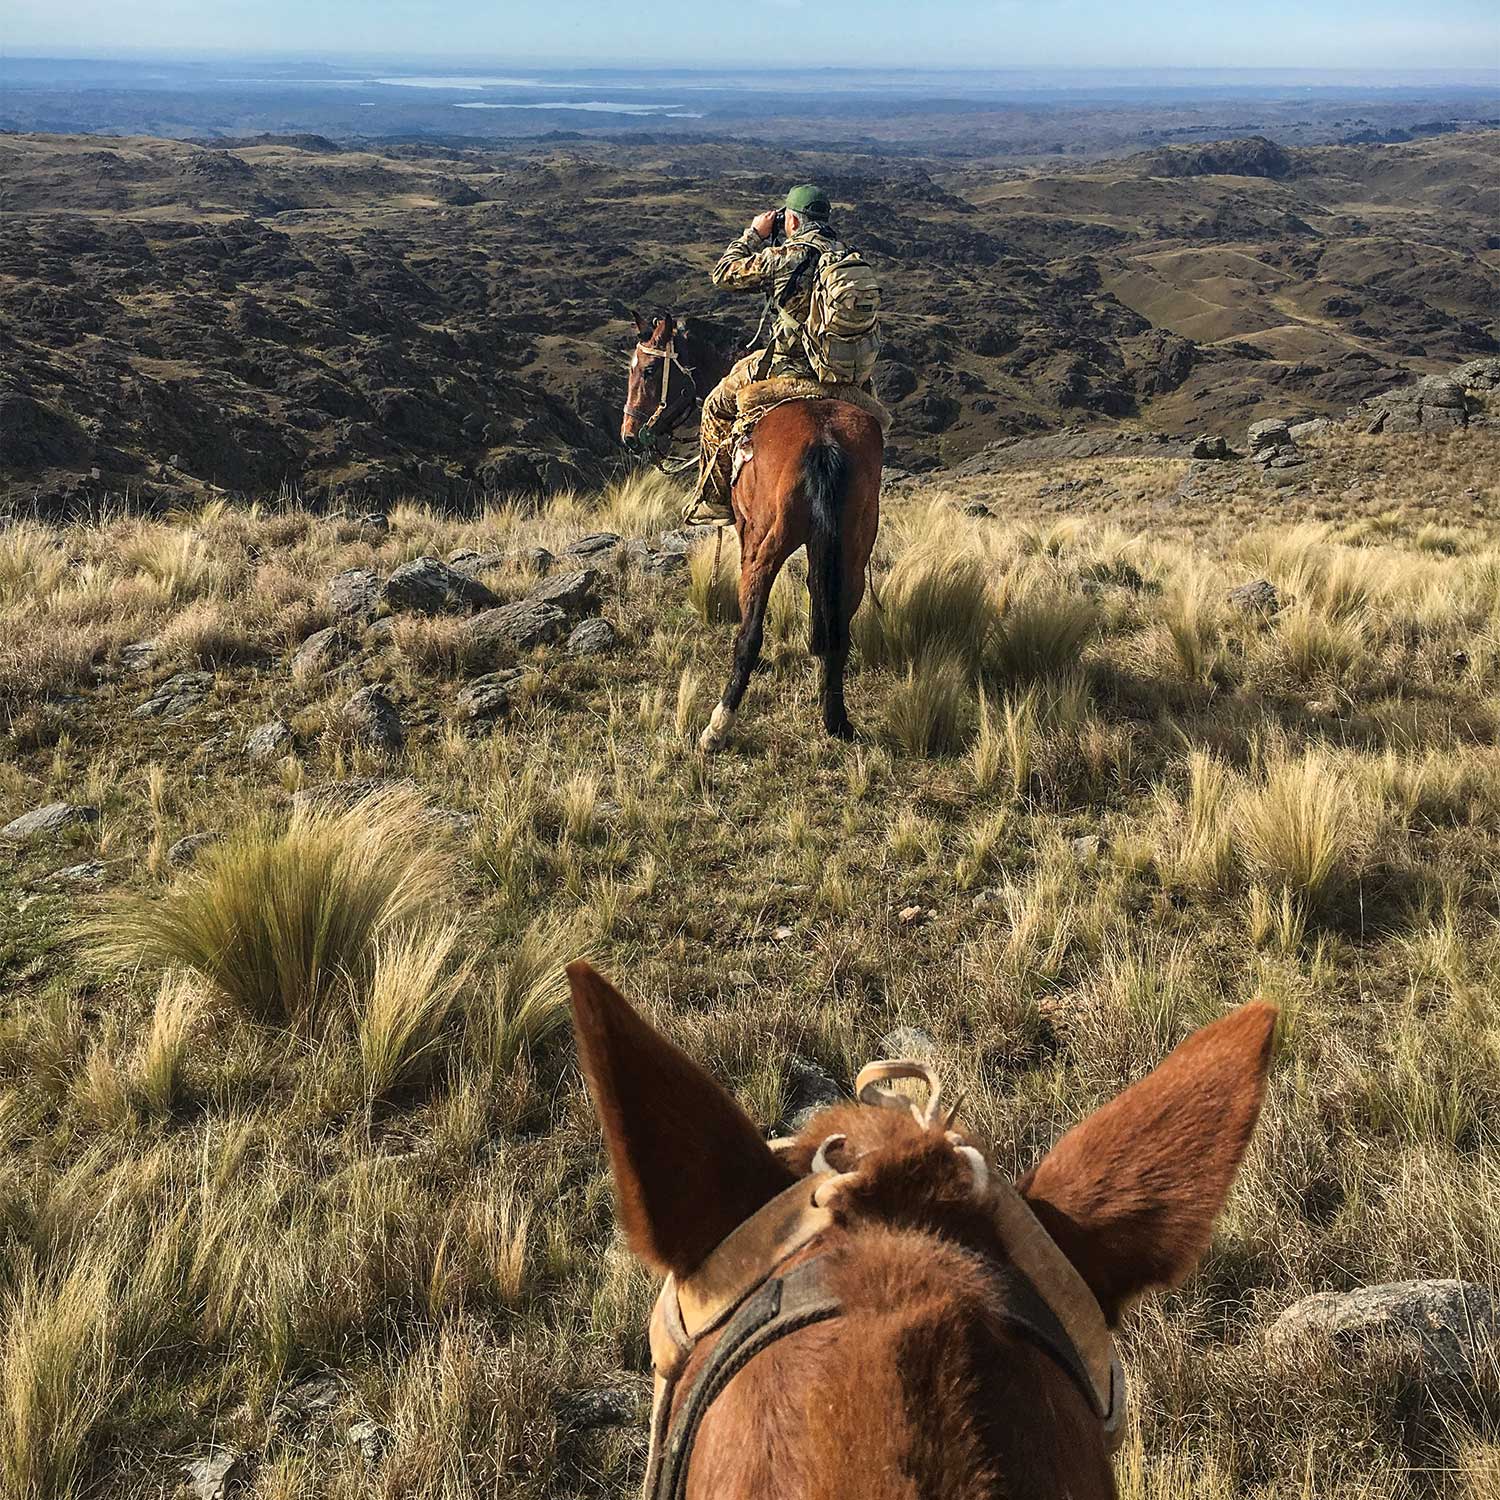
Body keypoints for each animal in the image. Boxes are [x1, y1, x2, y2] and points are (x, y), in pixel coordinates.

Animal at [618, 307, 882, 747]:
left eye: (650, 369)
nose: (629, 437)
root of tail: (825, 441)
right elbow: (819, 601)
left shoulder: (745, 533)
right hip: (853, 551)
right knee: (840, 623)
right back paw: (836, 718)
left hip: (763, 548)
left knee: (750, 633)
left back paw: (718, 725)